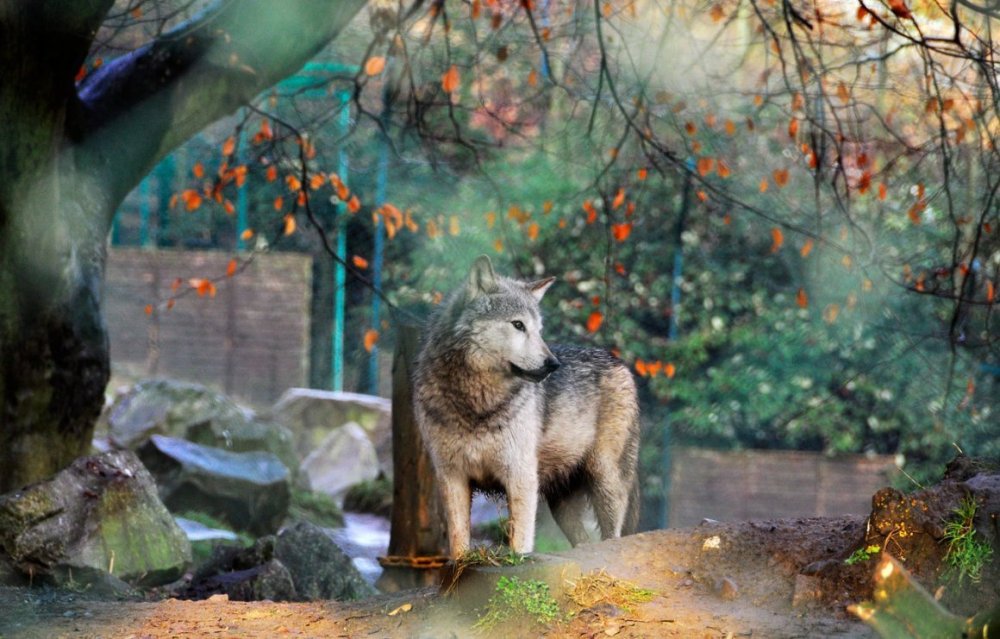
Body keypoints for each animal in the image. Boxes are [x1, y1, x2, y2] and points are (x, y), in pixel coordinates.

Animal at [412, 258, 640, 556]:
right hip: (562, 505)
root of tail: (619, 362)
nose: (553, 364)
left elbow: (519, 544)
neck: (477, 405)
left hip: (606, 481)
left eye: (539, 330)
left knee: (612, 538)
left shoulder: (520, 477)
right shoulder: (452, 477)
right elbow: (459, 543)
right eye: (518, 325)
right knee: (583, 544)